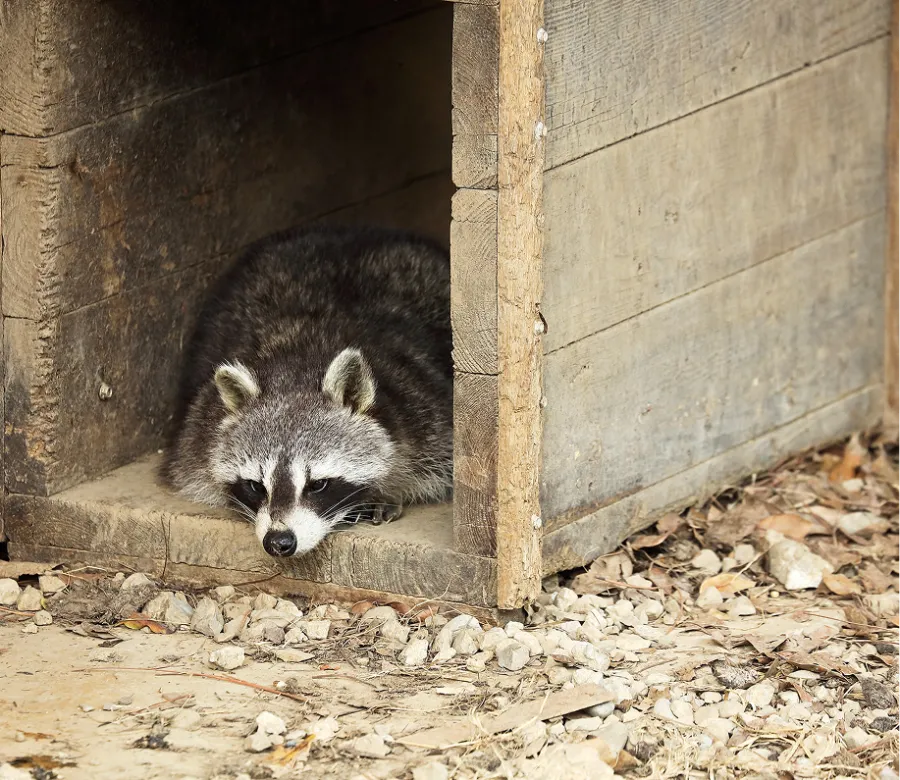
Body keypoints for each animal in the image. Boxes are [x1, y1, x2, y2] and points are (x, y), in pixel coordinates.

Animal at [160, 225, 453, 558]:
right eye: (256, 486)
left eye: (318, 485)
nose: (279, 542)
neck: (298, 365)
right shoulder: (199, 424)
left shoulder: (423, 405)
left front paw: (387, 491)